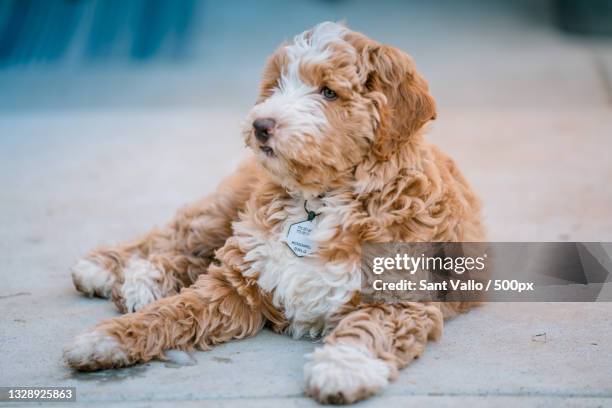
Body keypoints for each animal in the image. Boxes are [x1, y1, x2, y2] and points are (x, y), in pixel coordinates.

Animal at [64, 22, 486, 404]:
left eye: (328, 91)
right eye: (276, 86)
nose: (260, 124)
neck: (319, 201)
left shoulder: (399, 294)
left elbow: (371, 327)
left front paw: (341, 367)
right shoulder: (236, 282)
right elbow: (174, 311)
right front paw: (106, 338)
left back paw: (141, 280)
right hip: (229, 208)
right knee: (180, 236)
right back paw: (112, 270)